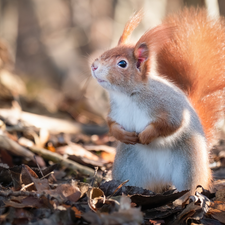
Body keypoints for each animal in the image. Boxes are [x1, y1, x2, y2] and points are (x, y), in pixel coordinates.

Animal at [90, 7, 225, 192]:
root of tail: (162, 178)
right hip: (128, 167)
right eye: (104, 53)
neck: (128, 96)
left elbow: (170, 124)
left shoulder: (167, 106)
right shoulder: (115, 112)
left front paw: (146, 136)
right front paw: (123, 135)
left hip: (189, 164)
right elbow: (111, 124)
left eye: (122, 64)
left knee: (189, 186)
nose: (94, 66)